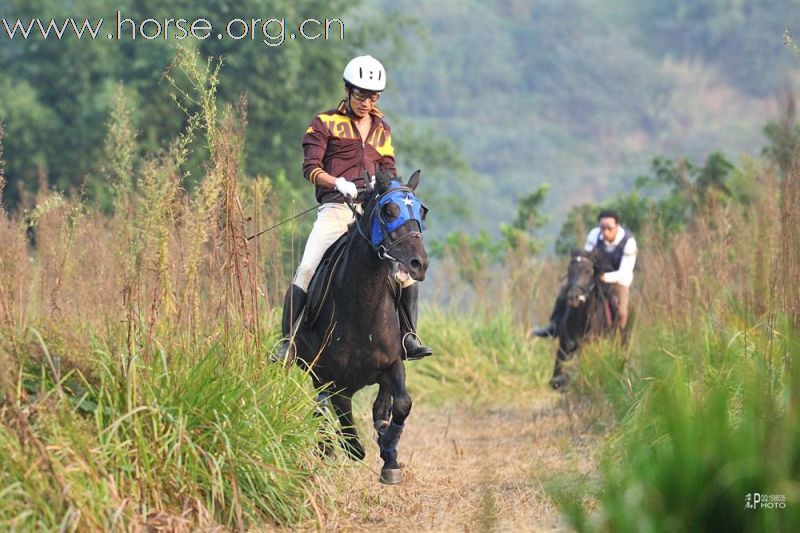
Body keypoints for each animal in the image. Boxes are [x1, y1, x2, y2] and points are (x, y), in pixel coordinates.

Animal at [290, 168, 428, 484]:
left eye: (421, 211)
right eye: (388, 211)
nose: (419, 263)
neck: (361, 307)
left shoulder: (393, 364)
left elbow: (401, 404)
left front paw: (389, 455)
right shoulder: (332, 381)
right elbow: (350, 437)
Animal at [552, 247, 624, 388]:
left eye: (589, 271)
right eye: (569, 270)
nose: (573, 297)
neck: (580, 321)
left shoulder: (588, 346)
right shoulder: (564, 345)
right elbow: (559, 368)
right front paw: (558, 381)